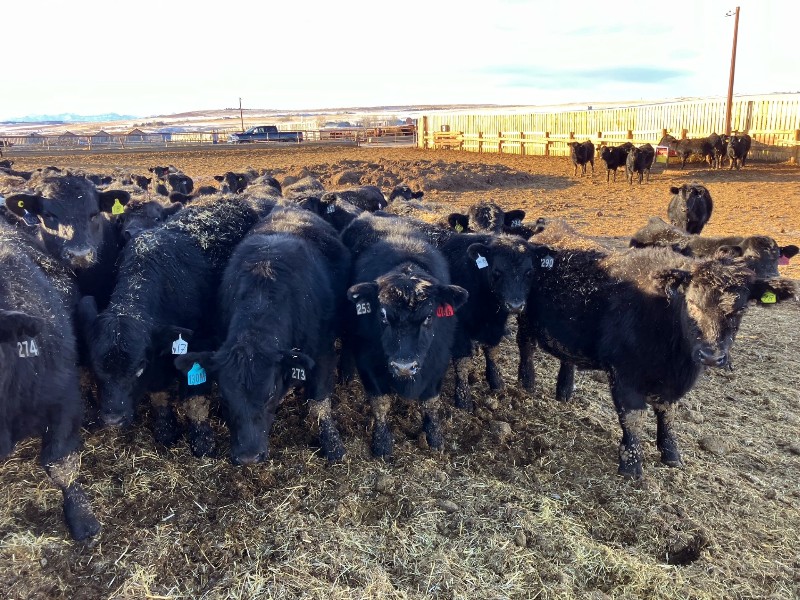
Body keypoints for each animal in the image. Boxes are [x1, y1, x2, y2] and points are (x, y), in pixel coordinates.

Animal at [174, 207, 350, 464]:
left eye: (269, 394)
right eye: (224, 398)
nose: (248, 456)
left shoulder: (323, 351)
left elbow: (319, 400)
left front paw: (332, 444)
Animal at [342, 213, 468, 458]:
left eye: (429, 316)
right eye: (382, 315)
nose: (404, 367)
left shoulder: (438, 362)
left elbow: (431, 402)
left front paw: (434, 436)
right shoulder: (367, 363)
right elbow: (380, 403)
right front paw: (382, 443)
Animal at [441, 233, 539, 411]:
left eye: (529, 272)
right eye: (497, 271)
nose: (515, 305)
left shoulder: (495, 326)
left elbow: (492, 351)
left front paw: (496, 381)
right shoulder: (458, 328)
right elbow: (462, 361)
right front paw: (463, 399)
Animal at [517, 242, 796, 478]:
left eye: (741, 309)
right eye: (691, 302)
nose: (711, 355)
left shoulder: (671, 385)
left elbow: (668, 413)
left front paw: (671, 454)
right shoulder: (623, 374)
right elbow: (633, 417)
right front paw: (631, 466)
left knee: (567, 359)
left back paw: (564, 392)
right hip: (525, 321)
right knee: (526, 348)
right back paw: (527, 384)